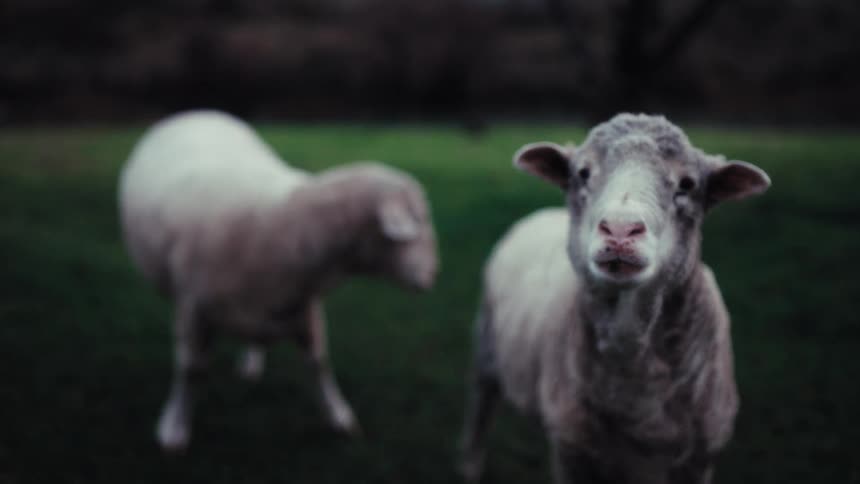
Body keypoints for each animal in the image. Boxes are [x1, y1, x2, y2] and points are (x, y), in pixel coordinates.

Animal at [118, 110, 438, 452]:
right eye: (418, 220)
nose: (434, 274)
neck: (284, 225)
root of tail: (199, 113)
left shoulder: (303, 306)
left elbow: (319, 363)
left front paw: (340, 417)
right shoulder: (193, 308)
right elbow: (191, 370)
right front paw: (174, 427)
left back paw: (252, 360)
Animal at [459, 113, 770, 484]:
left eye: (688, 184)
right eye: (582, 173)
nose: (621, 229)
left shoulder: (699, 458)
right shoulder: (573, 454)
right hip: (485, 348)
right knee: (480, 409)